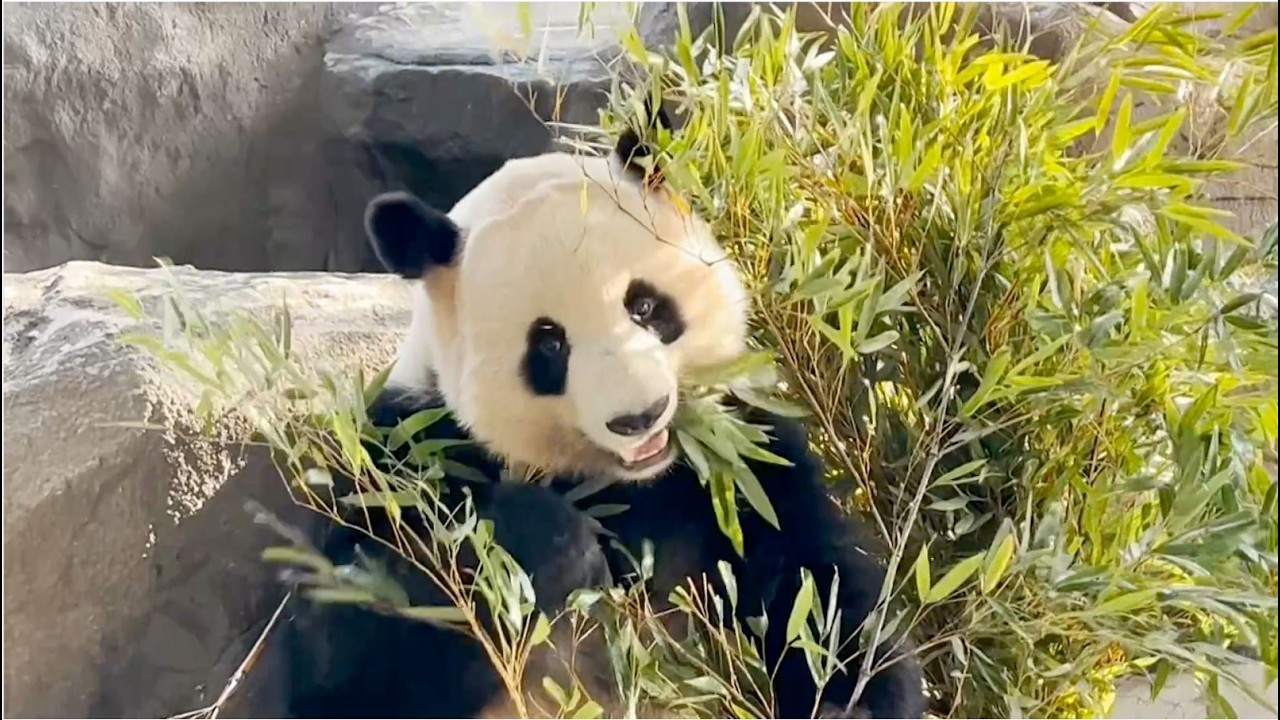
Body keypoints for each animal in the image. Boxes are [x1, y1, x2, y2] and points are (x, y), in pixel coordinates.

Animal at [281, 116, 927, 720]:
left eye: (645, 305)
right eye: (548, 343)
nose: (639, 416)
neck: (624, 483)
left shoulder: (739, 457)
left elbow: (816, 588)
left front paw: (850, 700)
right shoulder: (405, 455)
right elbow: (342, 662)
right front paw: (549, 541)